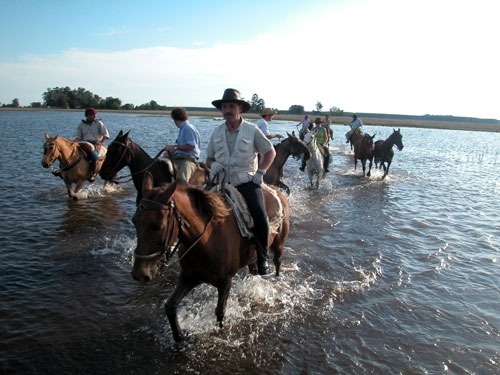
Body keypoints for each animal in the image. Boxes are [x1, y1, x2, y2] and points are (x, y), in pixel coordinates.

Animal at [131, 173, 292, 344]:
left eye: (158, 226)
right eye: (134, 221)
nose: (139, 274)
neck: (207, 239)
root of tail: (279, 192)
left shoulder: (225, 283)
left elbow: (220, 313)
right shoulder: (189, 276)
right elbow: (171, 306)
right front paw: (180, 336)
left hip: (278, 245)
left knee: (277, 264)